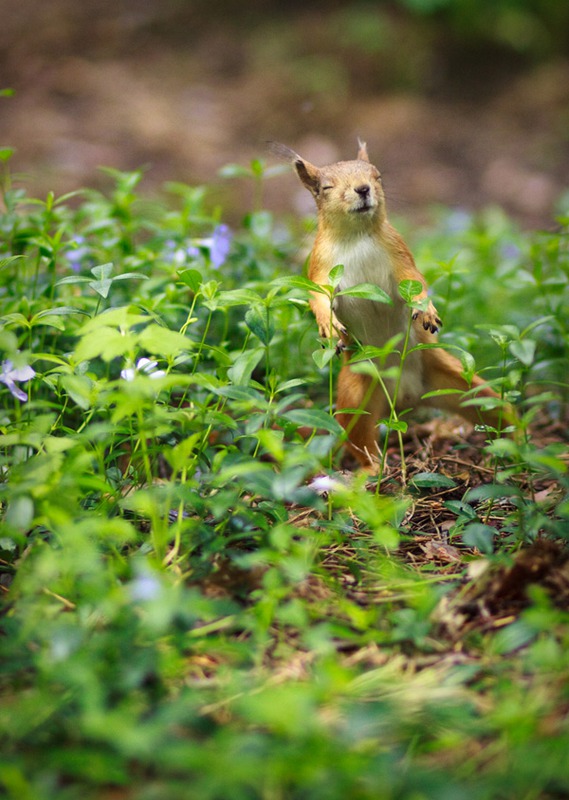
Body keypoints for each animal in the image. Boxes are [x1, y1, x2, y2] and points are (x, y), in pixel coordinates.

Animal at [276, 141, 506, 472]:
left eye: (378, 176)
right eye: (326, 187)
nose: (363, 188)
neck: (357, 237)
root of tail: (406, 398)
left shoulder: (399, 252)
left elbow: (415, 280)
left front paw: (426, 309)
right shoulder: (319, 267)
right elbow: (319, 297)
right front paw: (328, 325)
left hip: (462, 381)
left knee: (495, 409)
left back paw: (516, 446)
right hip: (355, 394)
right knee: (356, 437)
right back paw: (374, 468)